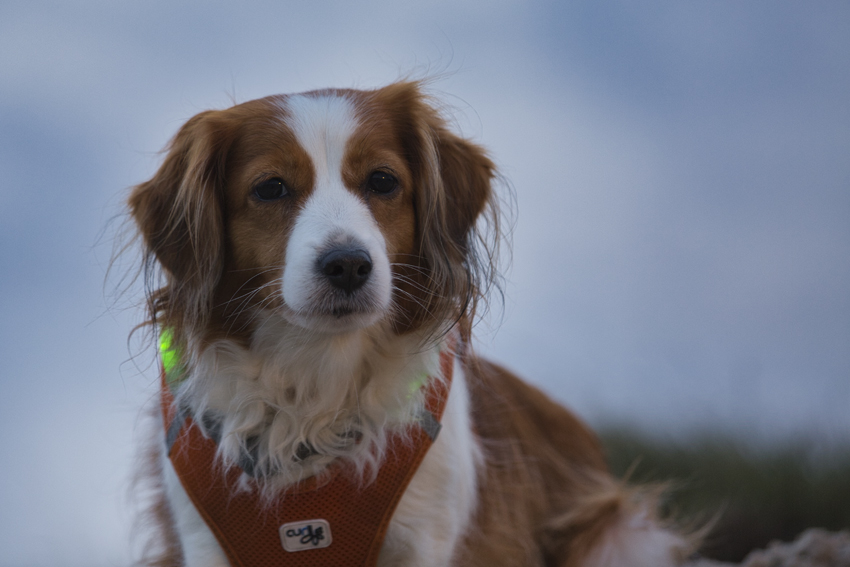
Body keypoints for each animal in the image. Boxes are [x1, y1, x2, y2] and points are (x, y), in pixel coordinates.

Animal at [129, 82, 692, 564]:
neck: (317, 385)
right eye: (270, 188)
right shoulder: (202, 541)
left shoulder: (428, 538)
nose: (348, 264)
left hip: (619, 537)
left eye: (382, 181)